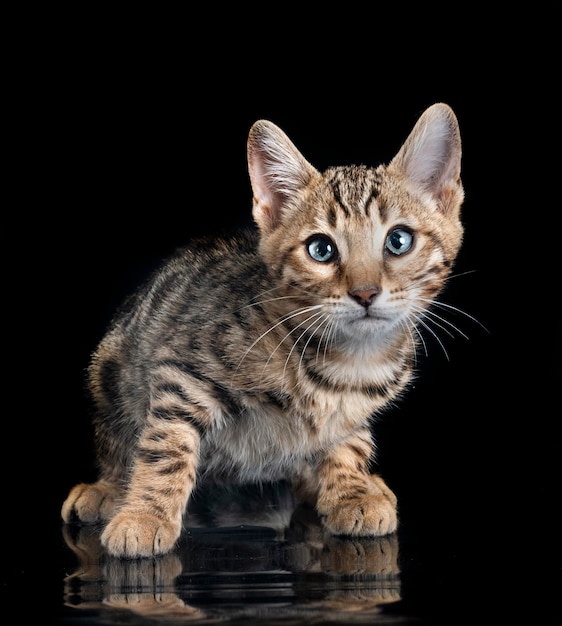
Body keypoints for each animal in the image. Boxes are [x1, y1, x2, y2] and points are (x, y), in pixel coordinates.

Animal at [61, 101, 464, 556]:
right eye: (321, 249)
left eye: (398, 241)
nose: (364, 293)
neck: (348, 361)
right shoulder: (183, 371)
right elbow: (167, 444)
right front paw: (145, 515)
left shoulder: (353, 414)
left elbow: (349, 443)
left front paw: (351, 491)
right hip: (109, 370)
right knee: (117, 439)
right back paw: (107, 489)